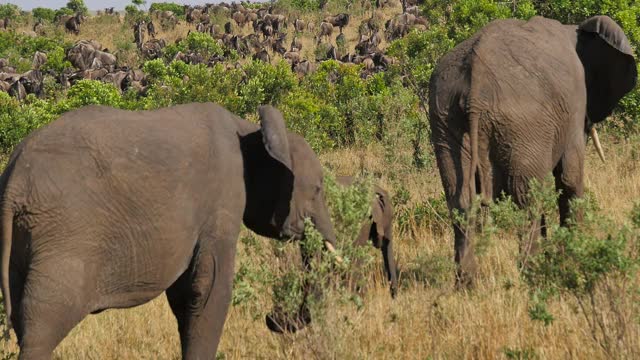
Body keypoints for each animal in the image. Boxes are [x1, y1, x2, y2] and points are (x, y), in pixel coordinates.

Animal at [0, 103, 340, 358]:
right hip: (65, 234)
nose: (273, 319)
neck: (249, 130)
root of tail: (13, 181)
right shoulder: (222, 203)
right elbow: (210, 292)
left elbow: (185, 297)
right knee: (43, 325)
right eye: (318, 190)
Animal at [428, 15, 636, 286]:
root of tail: (476, 86)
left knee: (460, 198)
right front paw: (574, 255)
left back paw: (466, 283)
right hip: (524, 124)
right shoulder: (574, 106)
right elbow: (570, 178)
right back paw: (533, 273)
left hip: (444, 116)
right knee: (525, 196)